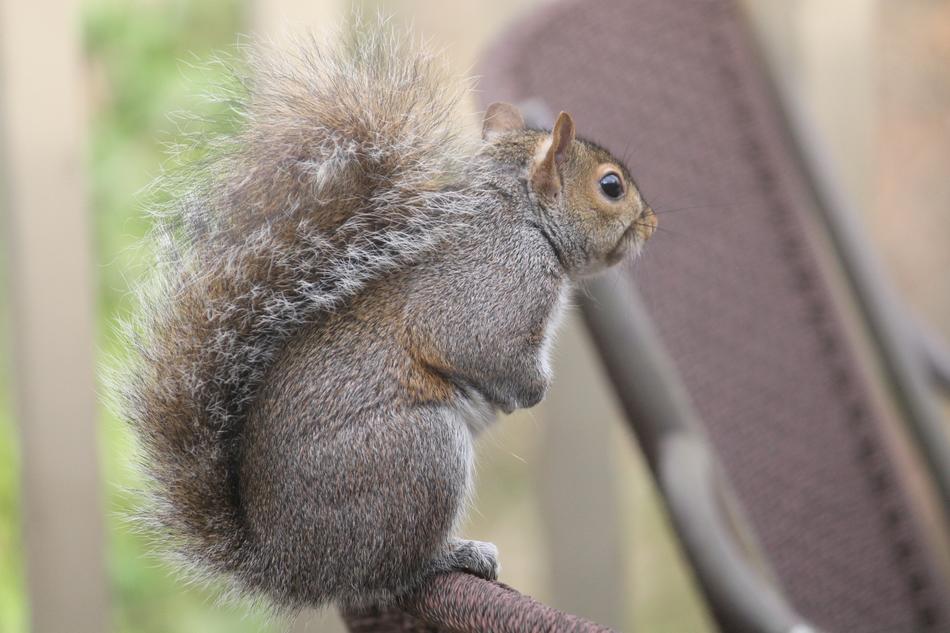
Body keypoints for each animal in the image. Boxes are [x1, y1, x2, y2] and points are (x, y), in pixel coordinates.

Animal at [119, 23, 656, 613]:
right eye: (611, 186)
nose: (652, 222)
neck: (521, 216)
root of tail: (289, 564)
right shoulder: (494, 284)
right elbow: (479, 346)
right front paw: (531, 391)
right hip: (419, 456)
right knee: (389, 572)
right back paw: (454, 554)